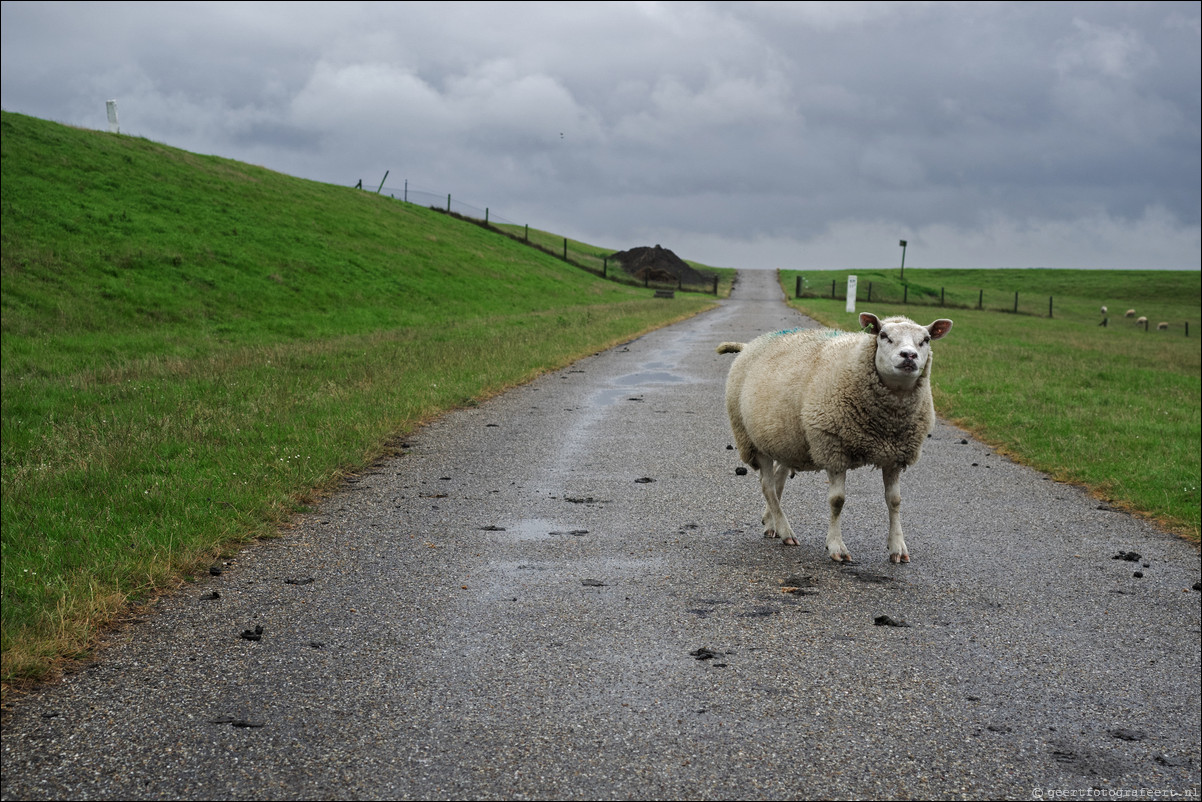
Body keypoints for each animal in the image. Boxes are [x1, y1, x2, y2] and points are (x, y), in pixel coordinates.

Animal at [716, 312, 951, 565]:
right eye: (883, 335)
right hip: (751, 439)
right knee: (768, 486)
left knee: (778, 480)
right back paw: (786, 531)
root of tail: (750, 344)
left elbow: (895, 500)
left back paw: (772, 523)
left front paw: (897, 547)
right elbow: (837, 500)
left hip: (786, 441)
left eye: (926, 339)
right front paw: (836, 547)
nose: (909, 355)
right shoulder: (832, 448)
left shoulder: (894, 455)